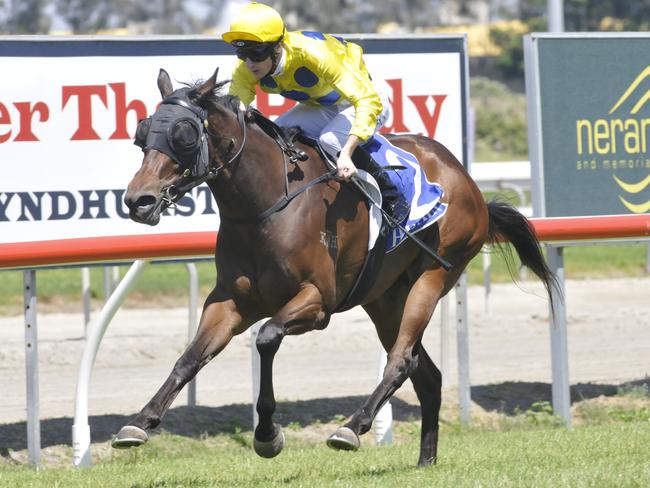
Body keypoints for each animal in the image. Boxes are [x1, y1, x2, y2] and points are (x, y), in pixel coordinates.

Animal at [114, 66, 556, 468]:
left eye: (184, 136)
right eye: (143, 133)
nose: (138, 200)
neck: (265, 205)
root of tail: (467, 180)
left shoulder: (317, 302)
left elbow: (267, 337)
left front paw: (267, 435)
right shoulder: (231, 301)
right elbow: (189, 358)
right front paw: (140, 422)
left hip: (434, 275)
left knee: (402, 360)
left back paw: (351, 427)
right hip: (384, 299)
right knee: (426, 374)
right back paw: (425, 461)